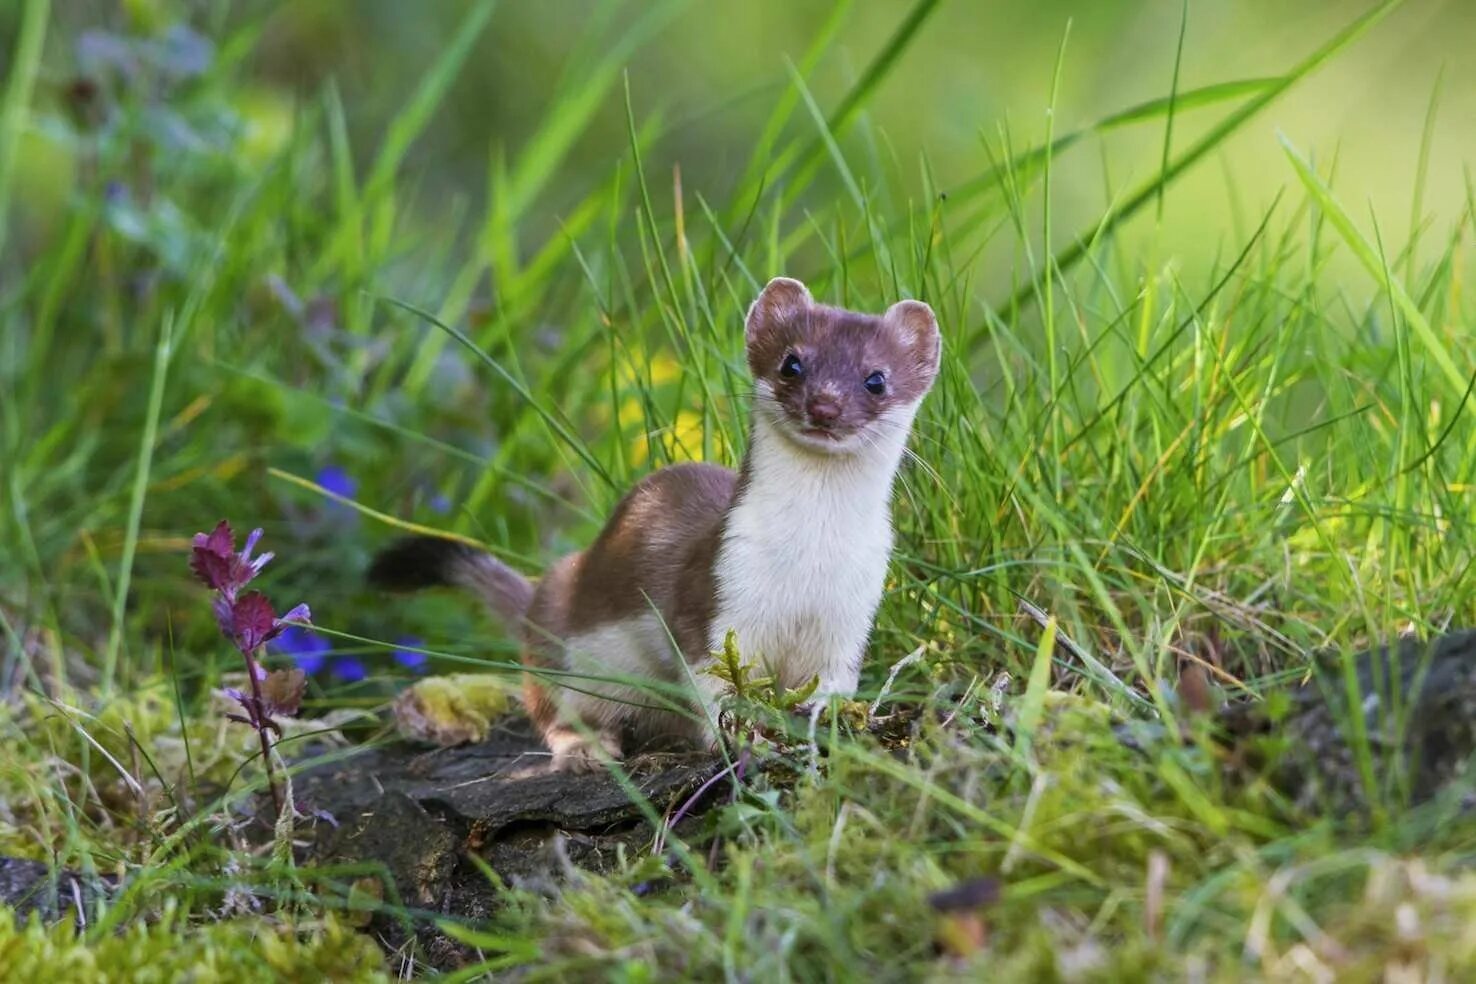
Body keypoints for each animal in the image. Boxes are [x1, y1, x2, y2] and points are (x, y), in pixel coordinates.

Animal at [374, 277, 938, 767]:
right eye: (791, 363)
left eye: (876, 379)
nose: (824, 405)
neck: (809, 557)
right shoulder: (716, 595)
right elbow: (710, 686)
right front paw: (740, 741)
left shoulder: (853, 614)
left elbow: (836, 681)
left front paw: (826, 720)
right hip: (562, 630)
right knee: (550, 705)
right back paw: (587, 748)